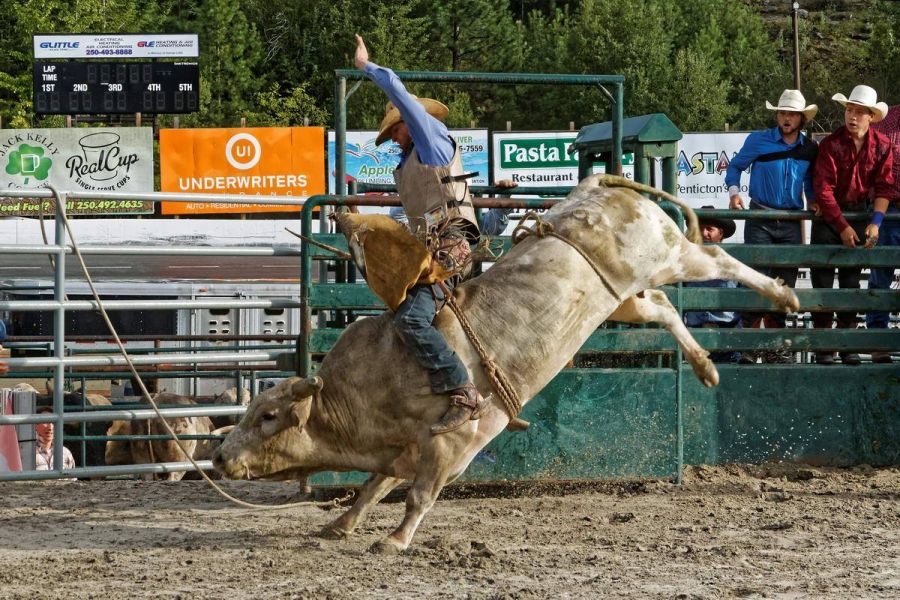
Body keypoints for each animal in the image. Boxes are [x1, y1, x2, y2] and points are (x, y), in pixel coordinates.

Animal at [212, 175, 799, 553]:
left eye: (267, 416)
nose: (218, 457)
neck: (366, 388)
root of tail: (595, 187)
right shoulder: (400, 448)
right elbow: (373, 485)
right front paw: (340, 524)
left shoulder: (451, 444)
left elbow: (419, 493)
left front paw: (394, 540)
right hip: (620, 299)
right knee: (661, 307)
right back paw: (705, 368)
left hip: (669, 254)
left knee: (716, 260)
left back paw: (784, 295)